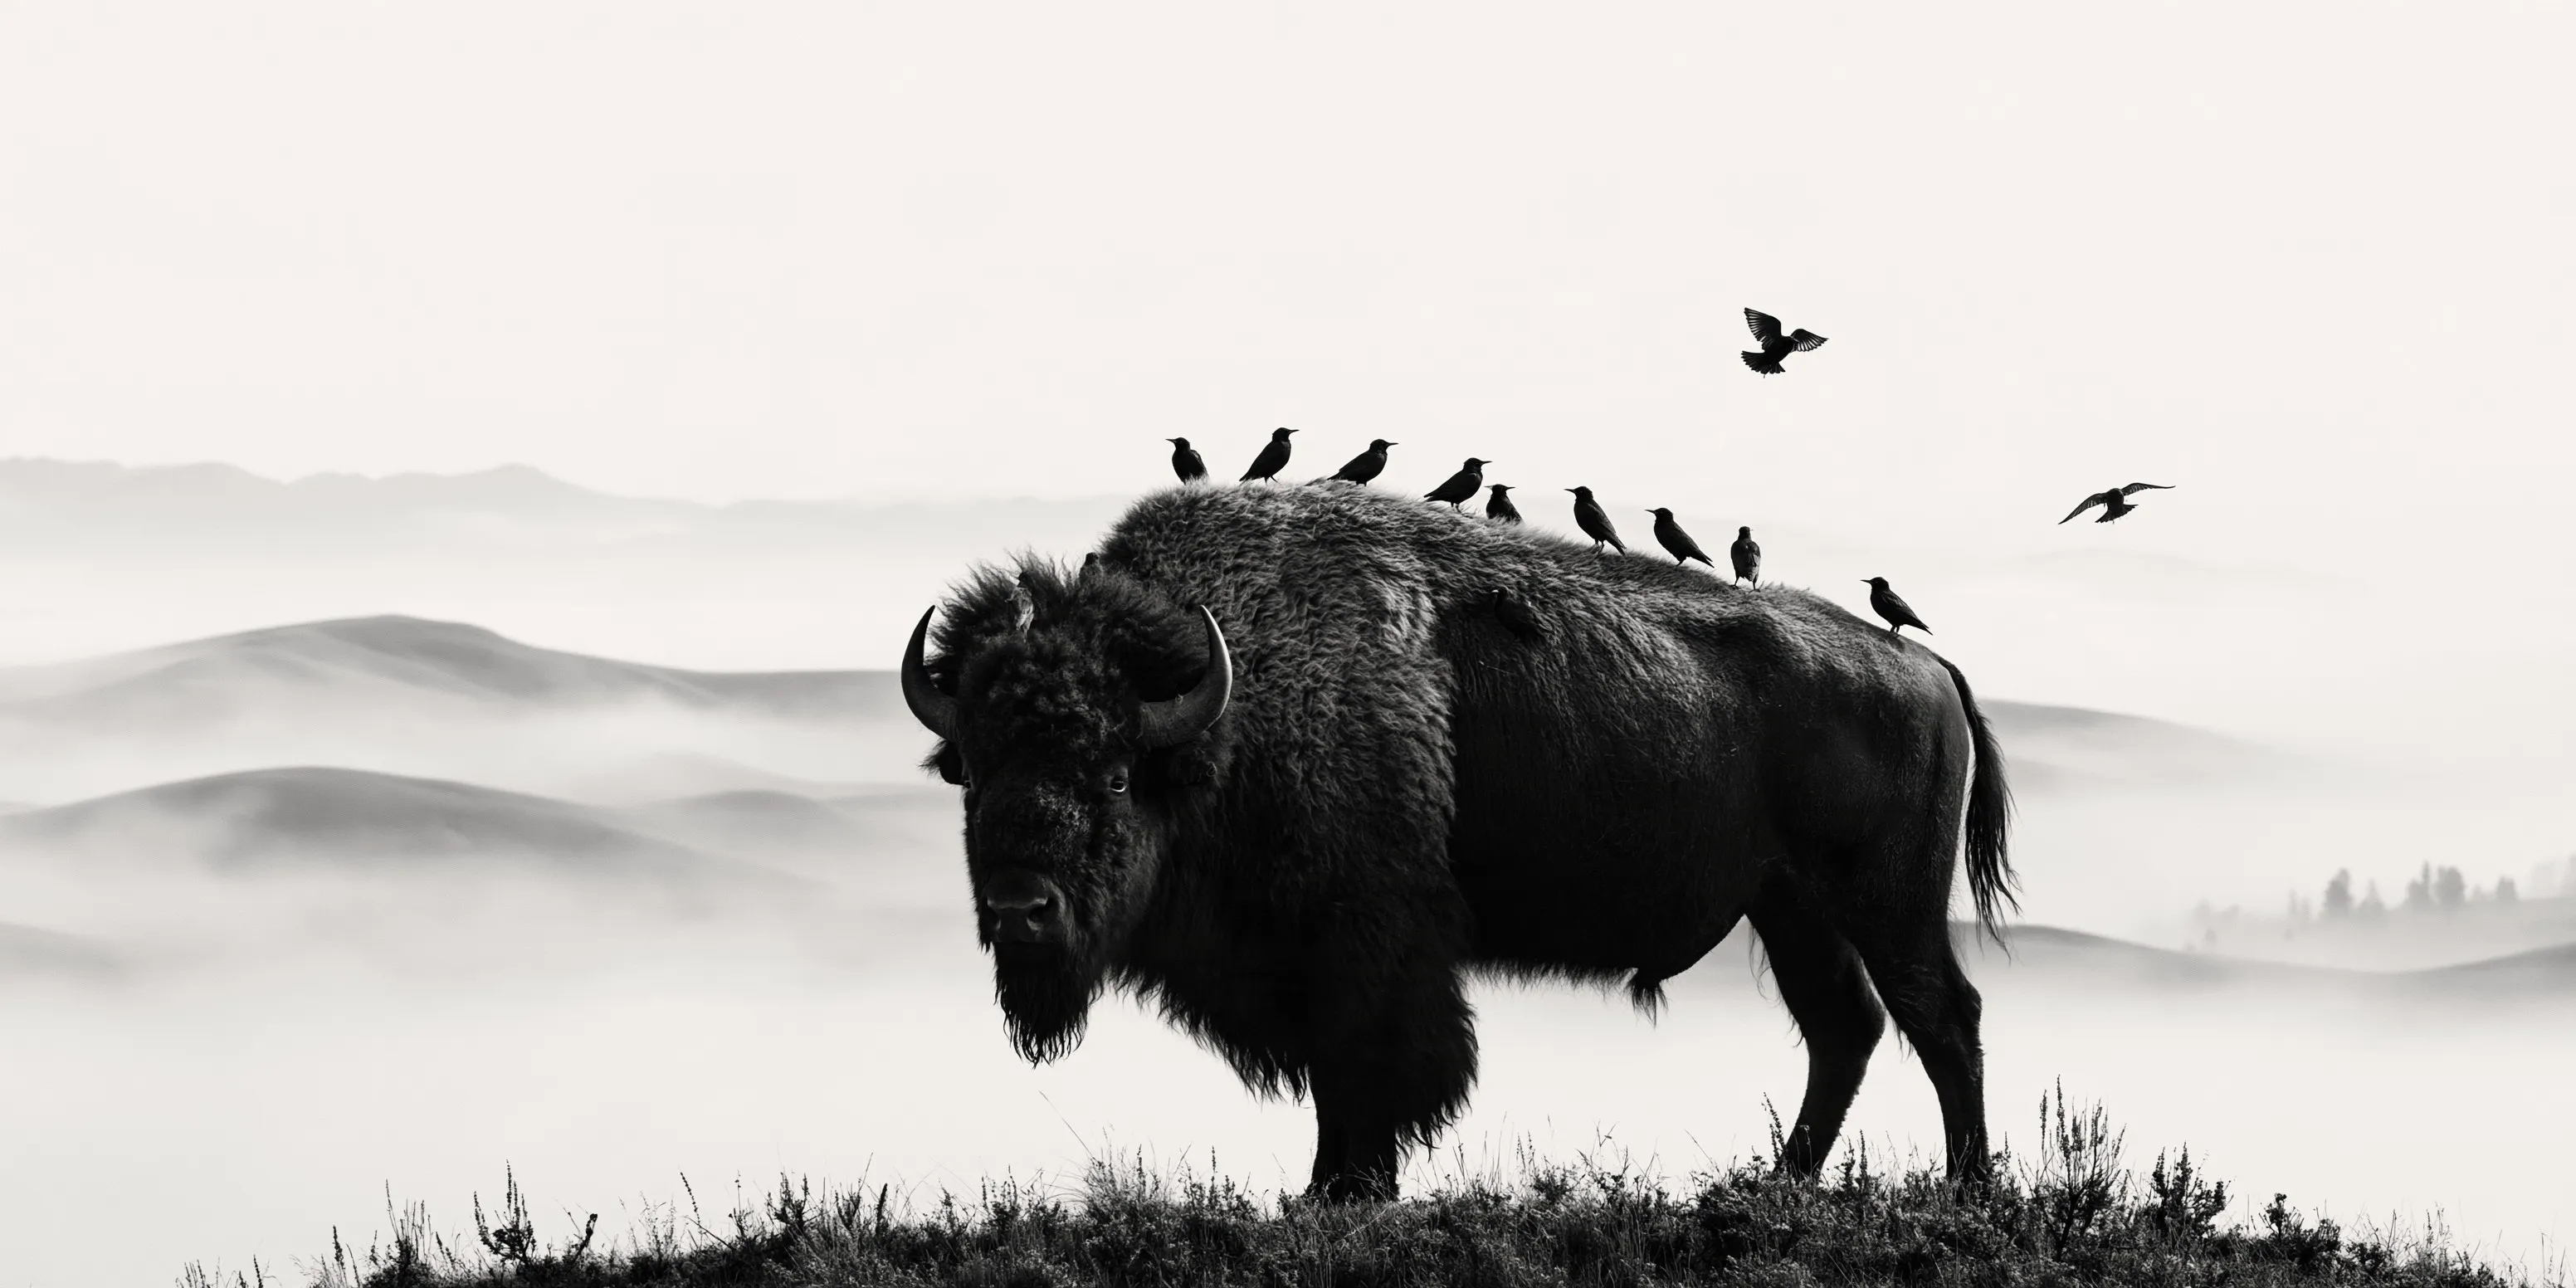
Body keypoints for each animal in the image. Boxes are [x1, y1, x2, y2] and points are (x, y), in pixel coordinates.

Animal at [900, 483, 2016, 1202]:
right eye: (976, 770)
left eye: (1116, 771)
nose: (1019, 909)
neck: (1232, 706)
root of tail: (1925, 669)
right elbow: (1341, 1087)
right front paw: (1327, 1193)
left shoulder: (1371, 956)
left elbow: (1368, 1079)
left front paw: (1345, 1194)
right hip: (1789, 910)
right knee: (1845, 1028)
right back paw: (1780, 1181)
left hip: (1886, 905)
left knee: (1940, 1017)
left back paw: (1963, 1187)